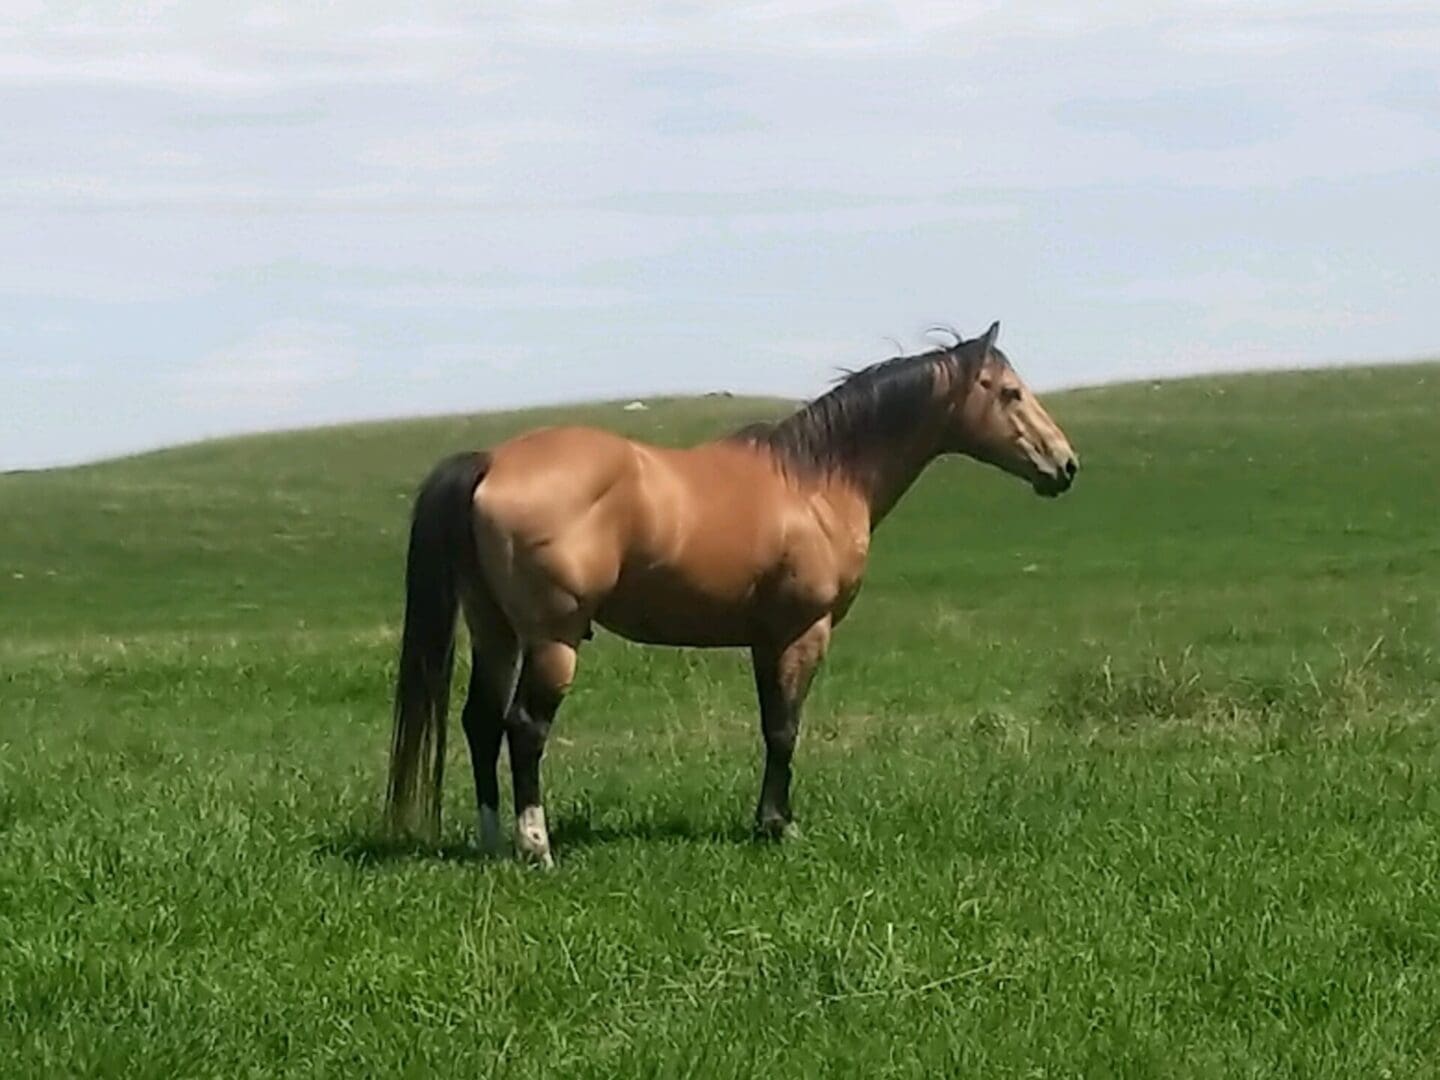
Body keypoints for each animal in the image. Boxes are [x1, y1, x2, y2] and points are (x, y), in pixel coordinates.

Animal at [385, 321, 1078, 865]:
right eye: (1010, 393)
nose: (1065, 465)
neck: (815, 480)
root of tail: (491, 463)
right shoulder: (802, 632)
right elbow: (785, 730)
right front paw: (778, 827)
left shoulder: (764, 639)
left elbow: (772, 725)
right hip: (552, 640)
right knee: (524, 728)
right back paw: (537, 846)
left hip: (496, 630)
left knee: (480, 722)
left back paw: (491, 839)